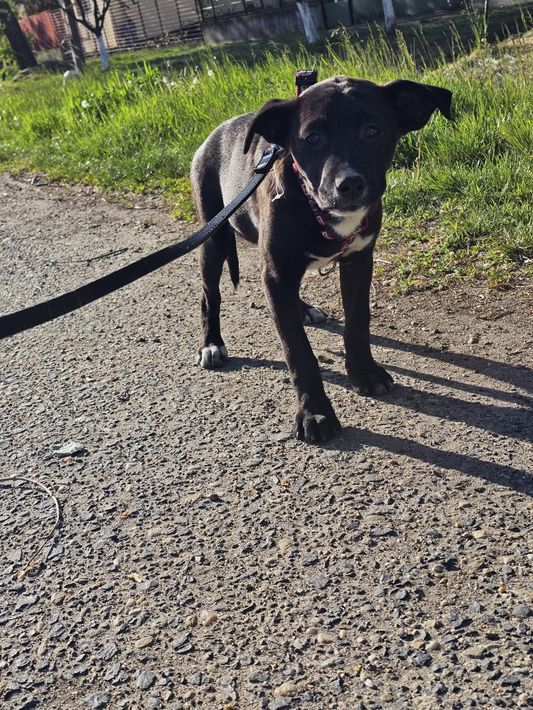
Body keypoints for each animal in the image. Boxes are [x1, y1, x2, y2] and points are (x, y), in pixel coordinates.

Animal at [190, 76, 452, 443]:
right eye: (311, 138)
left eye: (373, 130)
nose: (350, 185)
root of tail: (215, 132)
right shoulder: (277, 272)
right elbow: (299, 352)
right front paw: (315, 413)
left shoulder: (358, 262)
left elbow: (358, 323)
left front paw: (365, 373)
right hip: (214, 238)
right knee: (209, 296)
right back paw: (212, 344)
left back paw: (303, 309)